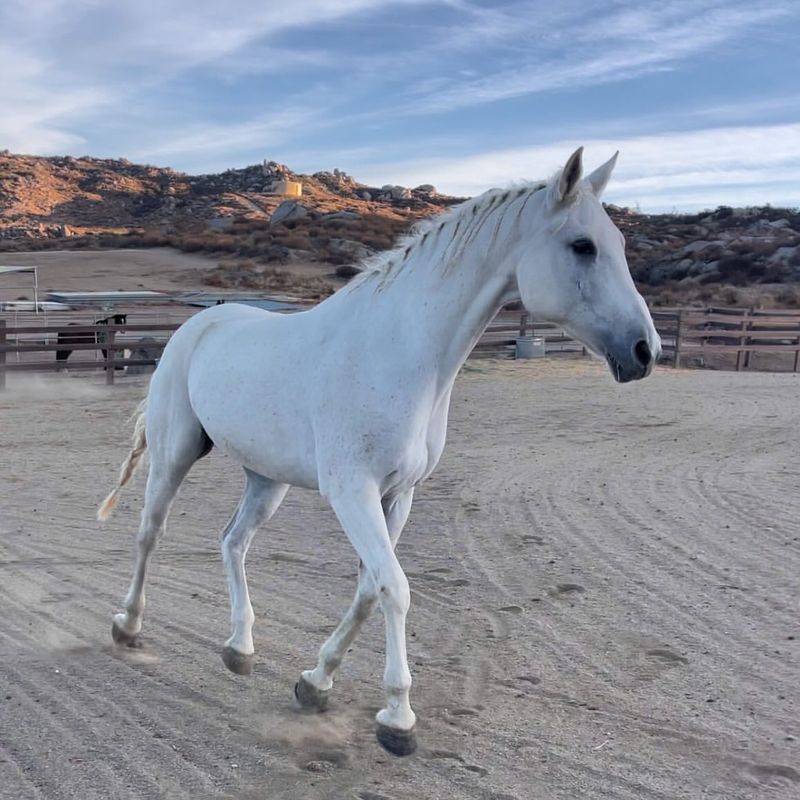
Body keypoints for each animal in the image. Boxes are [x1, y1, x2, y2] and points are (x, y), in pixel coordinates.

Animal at [100, 150, 660, 756]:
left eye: (619, 243)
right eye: (583, 245)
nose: (645, 351)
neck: (399, 354)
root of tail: (199, 323)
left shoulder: (399, 495)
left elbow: (370, 588)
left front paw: (316, 681)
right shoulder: (353, 492)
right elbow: (396, 588)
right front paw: (397, 717)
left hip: (266, 479)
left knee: (233, 542)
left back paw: (240, 646)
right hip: (174, 454)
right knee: (149, 533)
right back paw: (128, 626)